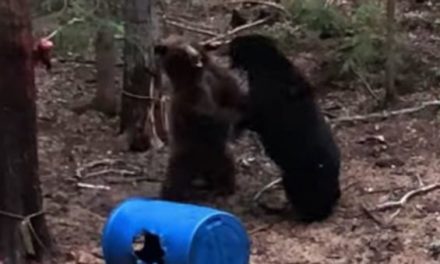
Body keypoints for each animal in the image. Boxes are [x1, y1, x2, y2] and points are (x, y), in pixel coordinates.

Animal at [229, 33, 342, 223]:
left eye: (233, 47)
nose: (225, 48)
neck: (268, 65)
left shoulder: (257, 116)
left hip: (291, 180)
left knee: (311, 210)